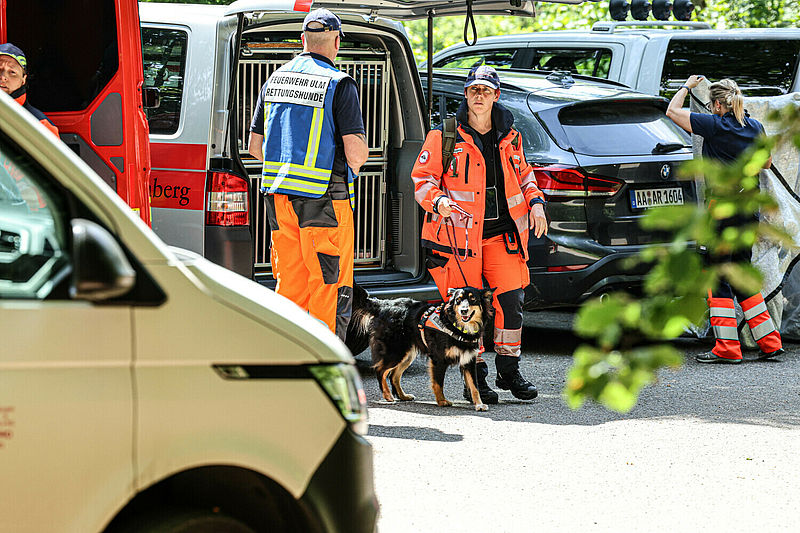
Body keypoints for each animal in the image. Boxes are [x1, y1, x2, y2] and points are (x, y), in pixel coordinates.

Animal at [346, 284, 494, 410]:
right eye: (458, 300)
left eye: (473, 299)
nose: (464, 310)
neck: (456, 326)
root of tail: (383, 305)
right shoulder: (439, 359)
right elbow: (438, 382)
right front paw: (442, 401)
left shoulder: (469, 360)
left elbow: (474, 386)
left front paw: (479, 404)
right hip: (395, 351)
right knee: (380, 370)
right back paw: (387, 396)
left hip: (407, 354)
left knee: (394, 375)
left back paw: (403, 396)